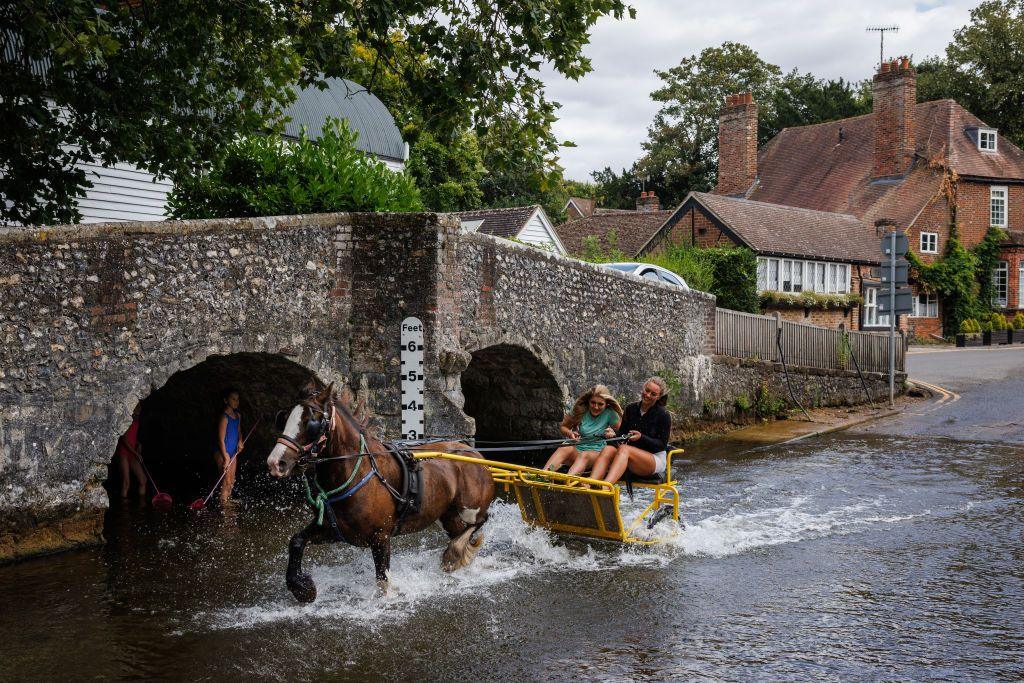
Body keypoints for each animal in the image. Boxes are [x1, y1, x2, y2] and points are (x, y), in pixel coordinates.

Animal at [266, 382, 493, 602]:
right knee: (460, 530)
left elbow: (383, 581)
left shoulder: (380, 536)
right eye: (283, 418)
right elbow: (296, 541)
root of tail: (475, 453)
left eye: (311, 422)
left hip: (470, 508)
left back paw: (454, 553)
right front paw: (302, 588)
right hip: (446, 515)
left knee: (479, 522)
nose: (275, 462)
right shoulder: (333, 530)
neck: (357, 473)